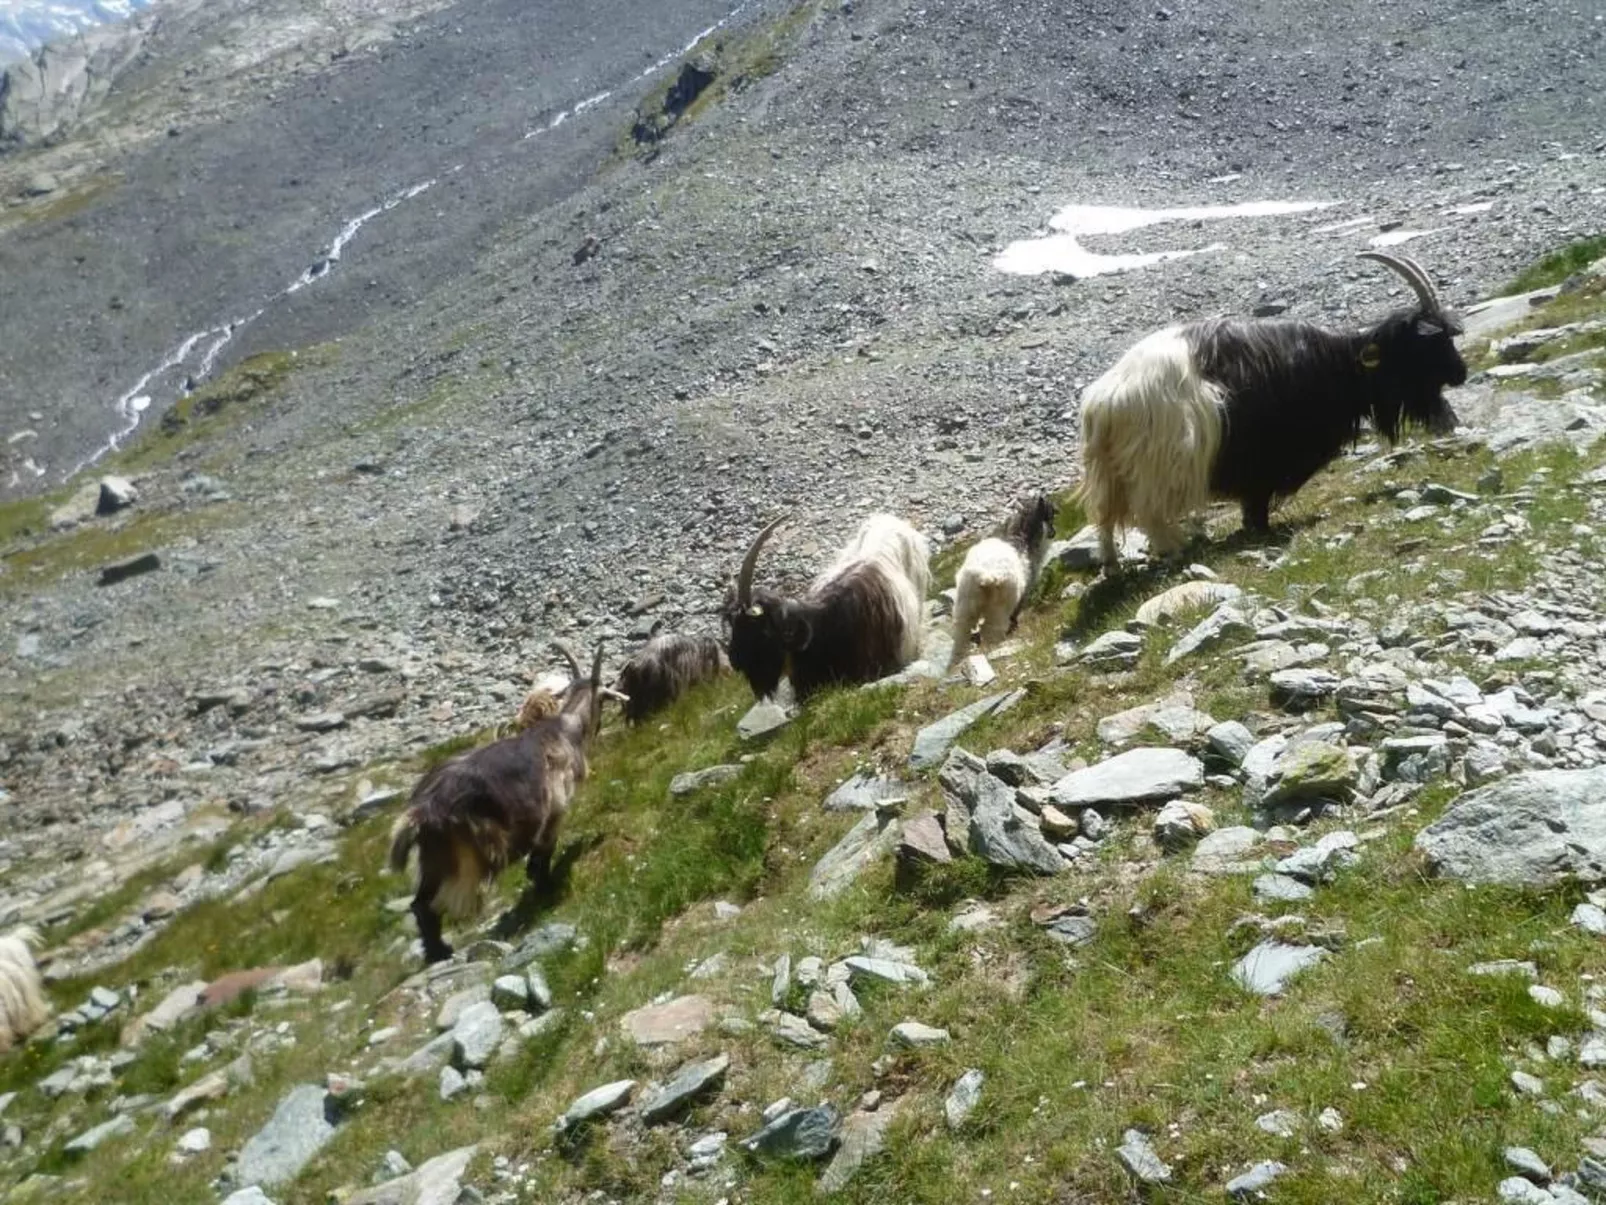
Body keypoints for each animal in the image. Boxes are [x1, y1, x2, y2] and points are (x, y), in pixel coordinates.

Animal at [388, 642, 613, 964]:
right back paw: (441, 951)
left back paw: (437, 951)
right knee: (433, 903)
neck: (564, 731)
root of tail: (421, 810)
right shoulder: (555, 809)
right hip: (467, 856)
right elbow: (544, 851)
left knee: (420, 903)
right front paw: (545, 887)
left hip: (433, 857)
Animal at [944, 491, 1059, 671]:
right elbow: (1017, 611)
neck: (1021, 538)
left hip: (965, 602)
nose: (1054, 532)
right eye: (1050, 512)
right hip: (1000, 605)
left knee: (962, 632)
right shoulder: (1023, 592)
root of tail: (985, 576)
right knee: (992, 630)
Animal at [1079, 250, 1471, 571]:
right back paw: (1176, 549)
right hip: (1156, 466)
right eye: (1430, 342)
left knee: (1105, 517)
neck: (1338, 364)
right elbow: (1257, 499)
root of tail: (1102, 404)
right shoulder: (1264, 459)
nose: (1461, 373)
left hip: (1111, 472)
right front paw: (1260, 530)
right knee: (1149, 513)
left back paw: (1112, 566)